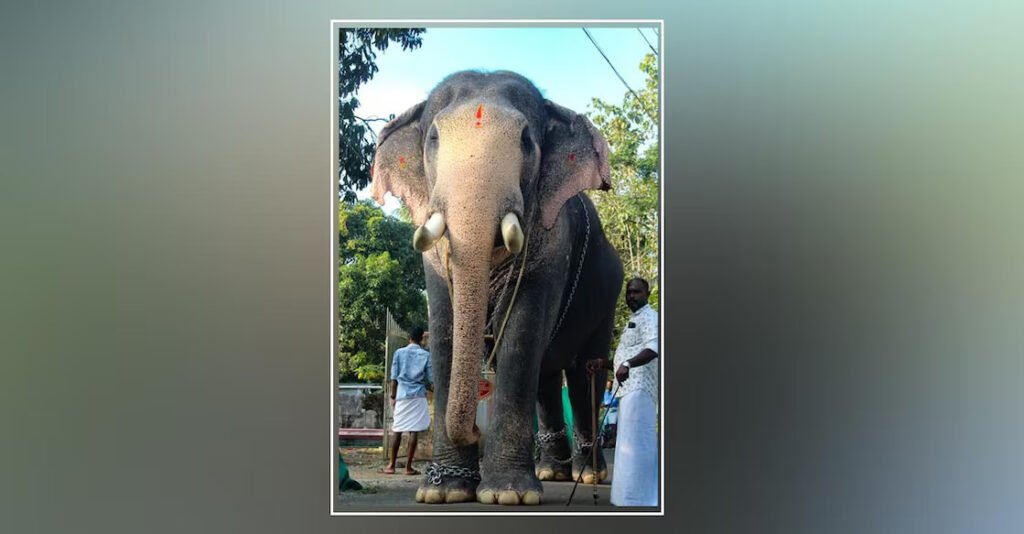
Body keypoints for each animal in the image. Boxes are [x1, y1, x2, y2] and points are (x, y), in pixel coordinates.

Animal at [370, 70, 624, 505]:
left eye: (526, 140)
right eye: (433, 138)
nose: (475, 429)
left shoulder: (553, 244)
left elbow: (520, 336)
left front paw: (509, 495)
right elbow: (445, 331)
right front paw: (443, 492)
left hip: (608, 293)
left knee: (581, 372)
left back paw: (588, 475)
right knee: (547, 378)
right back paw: (552, 471)